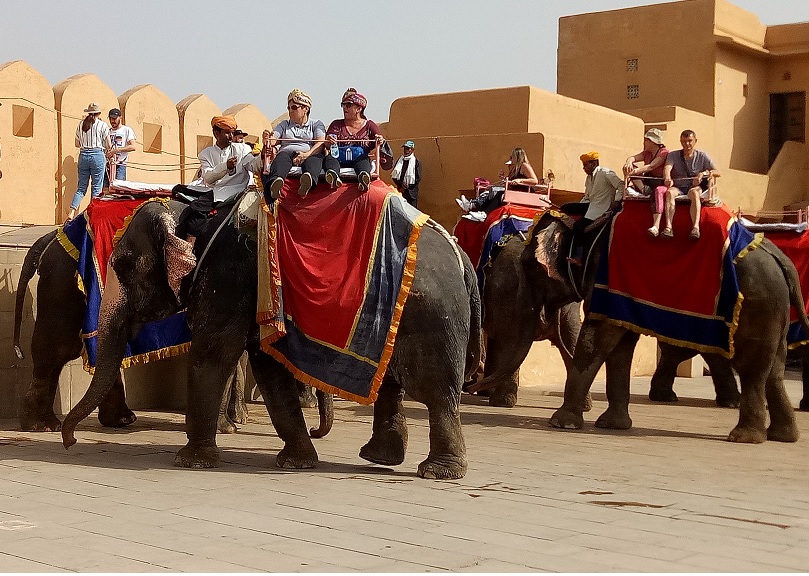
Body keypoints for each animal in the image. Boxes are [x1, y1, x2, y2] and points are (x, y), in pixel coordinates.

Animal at [12, 224, 248, 432]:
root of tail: (53, 235)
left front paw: (232, 423)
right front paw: (228, 427)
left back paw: (118, 420)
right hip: (63, 281)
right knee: (59, 347)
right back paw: (41, 425)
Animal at [63, 196, 482, 480]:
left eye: (123, 265)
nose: (70, 443)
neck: (197, 211)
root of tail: (462, 257)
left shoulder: (228, 277)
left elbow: (213, 355)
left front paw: (190, 462)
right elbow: (268, 368)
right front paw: (297, 463)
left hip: (433, 317)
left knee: (434, 391)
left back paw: (437, 472)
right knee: (393, 384)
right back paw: (381, 458)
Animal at [476, 213, 804, 446]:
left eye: (531, 265)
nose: (471, 384)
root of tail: (780, 259)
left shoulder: (603, 280)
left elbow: (596, 340)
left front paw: (562, 423)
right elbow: (620, 347)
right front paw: (611, 425)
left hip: (756, 303)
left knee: (751, 367)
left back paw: (744, 437)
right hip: (774, 308)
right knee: (774, 368)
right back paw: (783, 436)